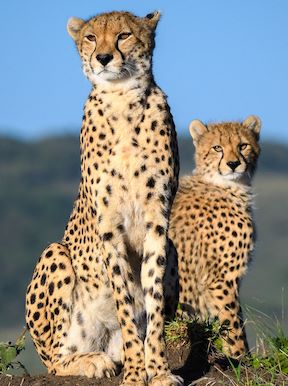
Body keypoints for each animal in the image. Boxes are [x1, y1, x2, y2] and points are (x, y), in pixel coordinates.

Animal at [25, 11, 181, 386]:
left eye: (124, 35)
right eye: (91, 38)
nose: (105, 57)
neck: (121, 99)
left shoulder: (158, 223)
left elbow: (152, 303)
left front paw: (158, 370)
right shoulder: (109, 227)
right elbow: (124, 302)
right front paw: (136, 373)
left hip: (172, 248)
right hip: (56, 254)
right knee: (56, 359)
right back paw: (90, 362)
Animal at [169, 115, 260, 358]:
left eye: (243, 145)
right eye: (217, 148)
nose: (233, 164)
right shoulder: (220, 279)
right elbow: (233, 323)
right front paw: (240, 357)